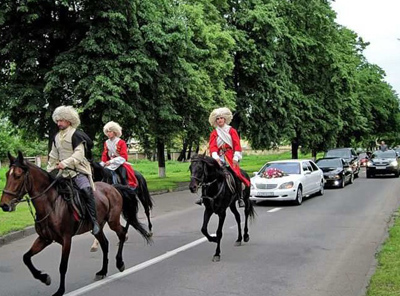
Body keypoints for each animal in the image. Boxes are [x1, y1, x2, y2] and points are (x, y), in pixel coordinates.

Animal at [0, 153, 152, 296]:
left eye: (18, 176)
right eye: (7, 175)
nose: (4, 205)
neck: (52, 205)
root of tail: (113, 187)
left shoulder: (66, 240)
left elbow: (62, 266)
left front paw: (60, 290)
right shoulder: (44, 239)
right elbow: (26, 258)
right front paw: (44, 278)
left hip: (113, 220)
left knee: (122, 233)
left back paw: (120, 263)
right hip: (98, 227)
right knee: (105, 243)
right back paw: (103, 271)